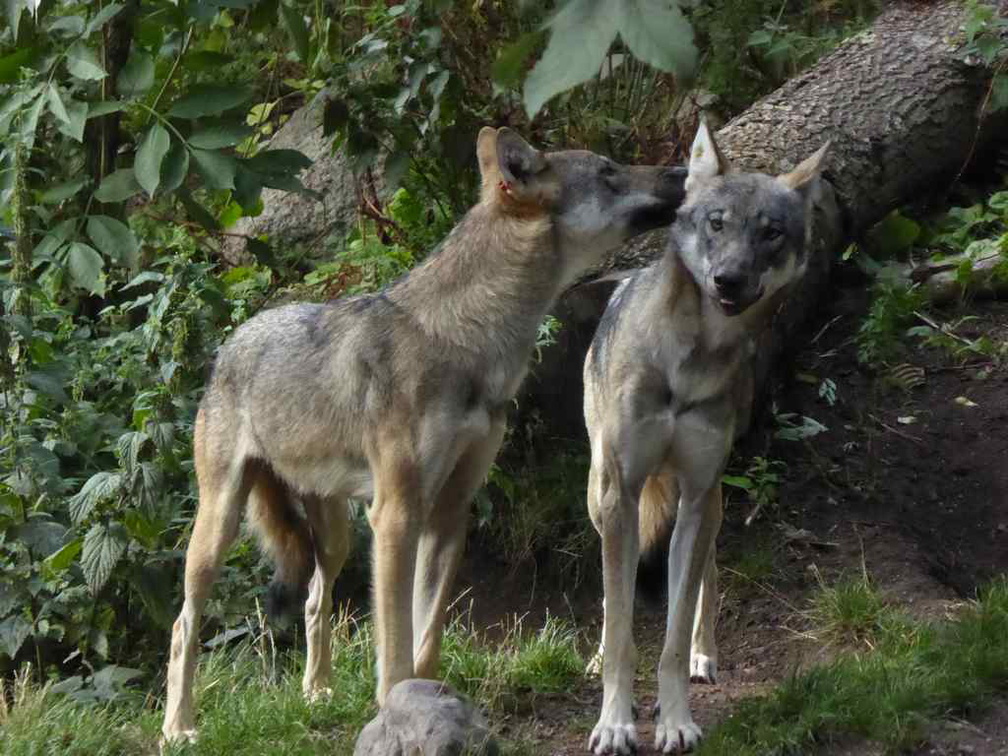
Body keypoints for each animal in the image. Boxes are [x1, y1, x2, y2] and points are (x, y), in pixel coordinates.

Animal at [163, 127, 685, 741]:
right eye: (607, 172)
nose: (682, 172)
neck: (468, 342)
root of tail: (233, 339)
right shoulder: (396, 516)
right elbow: (393, 646)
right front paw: (396, 711)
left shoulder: (448, 512)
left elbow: (426, 635)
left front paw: (430, 703)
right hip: (219, 527)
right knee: (183, 625)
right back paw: (178, 728)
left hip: (334, 537)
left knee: (315, 602)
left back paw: (317, 693)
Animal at [584, 121, 826, 753]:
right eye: (717, 223)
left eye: (770, 233)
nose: (729, 279)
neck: (690, 360)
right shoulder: (621, 496)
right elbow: (622, 627)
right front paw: (615, 723)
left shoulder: (696, 495)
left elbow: (669, 636)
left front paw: (675, 720)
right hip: (599, 496)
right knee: (612, 598)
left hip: (711, 501)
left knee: (705, 580)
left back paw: (703, 654)